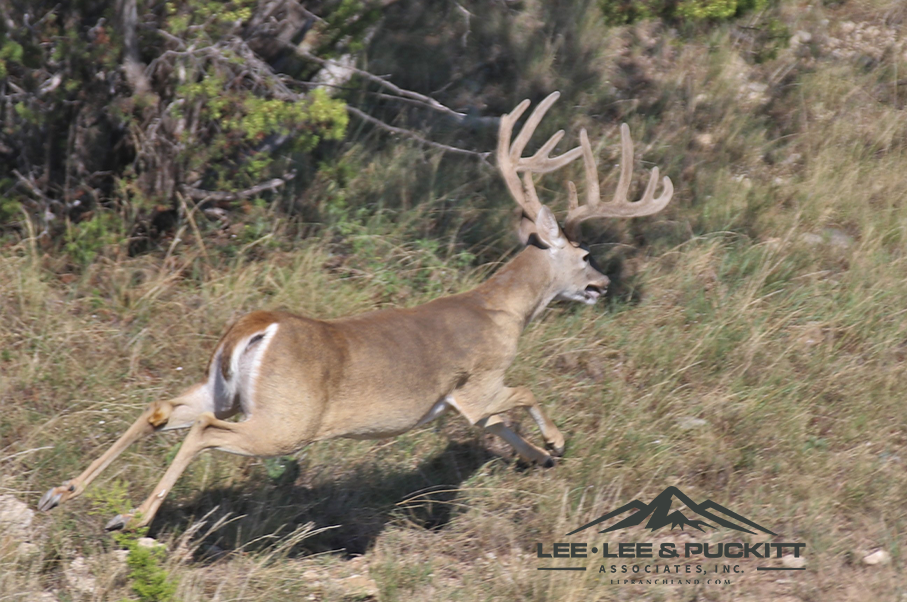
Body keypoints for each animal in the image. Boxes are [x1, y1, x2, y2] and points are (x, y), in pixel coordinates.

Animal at [37, 91, 672, 528]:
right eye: (585, 254)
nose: (604, 284)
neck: (502, 310)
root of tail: (255, 326)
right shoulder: (477, 382)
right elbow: (523, 394)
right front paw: (558, 443)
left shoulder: (459, 404)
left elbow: (503, 427)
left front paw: (541, 457)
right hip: (285, 420)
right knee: (205, 432)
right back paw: (132, 518)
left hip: (221, 389)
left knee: (161, 409)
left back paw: (61, 493)